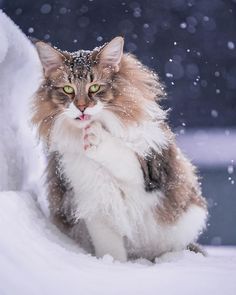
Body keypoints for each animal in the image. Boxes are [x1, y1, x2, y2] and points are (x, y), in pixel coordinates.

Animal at [32, 37, 207, 264]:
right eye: (68, 89)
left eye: (95, 87)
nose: (81, 107)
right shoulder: (95, 203)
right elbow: (111, 249)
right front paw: (114, 265)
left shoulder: (150, 177)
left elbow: (123, 157)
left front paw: (95, 138)